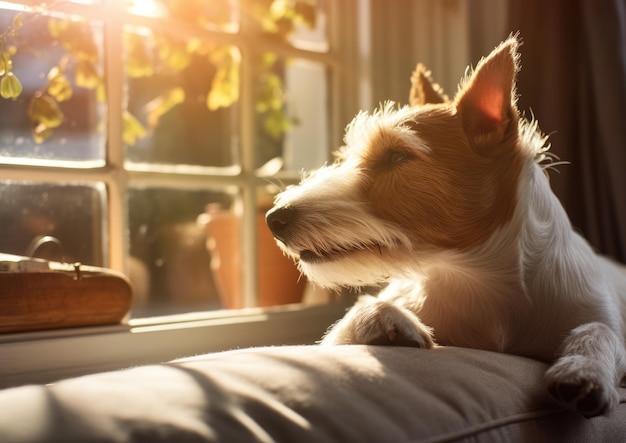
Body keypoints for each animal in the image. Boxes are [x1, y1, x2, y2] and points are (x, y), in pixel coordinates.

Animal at [264, 36, 624, 418]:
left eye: (396, 156)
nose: (274, 219)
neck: (476, 276)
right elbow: (356, 315)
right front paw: (384, 319)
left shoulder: (594, 314)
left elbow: (599, 331)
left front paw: (584, 370)